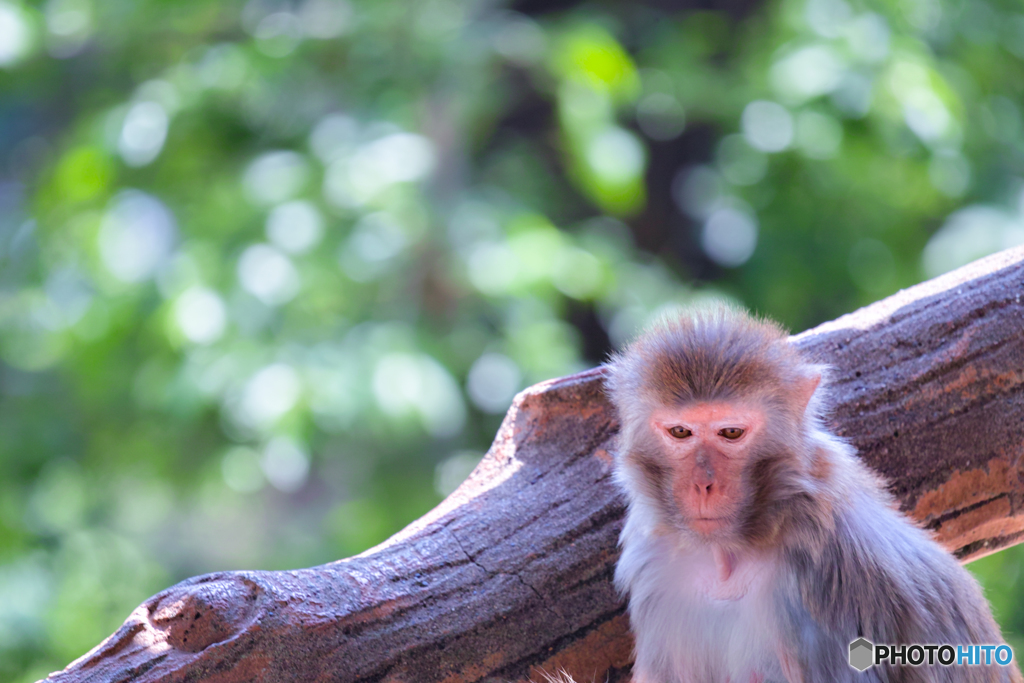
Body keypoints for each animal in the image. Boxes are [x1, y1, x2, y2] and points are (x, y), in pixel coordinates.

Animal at [598, 309, 1019, 683]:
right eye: (681, 432)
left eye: (731, 433)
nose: (703, 484)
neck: (730, 555)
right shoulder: (654, 566)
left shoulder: (831, 574)